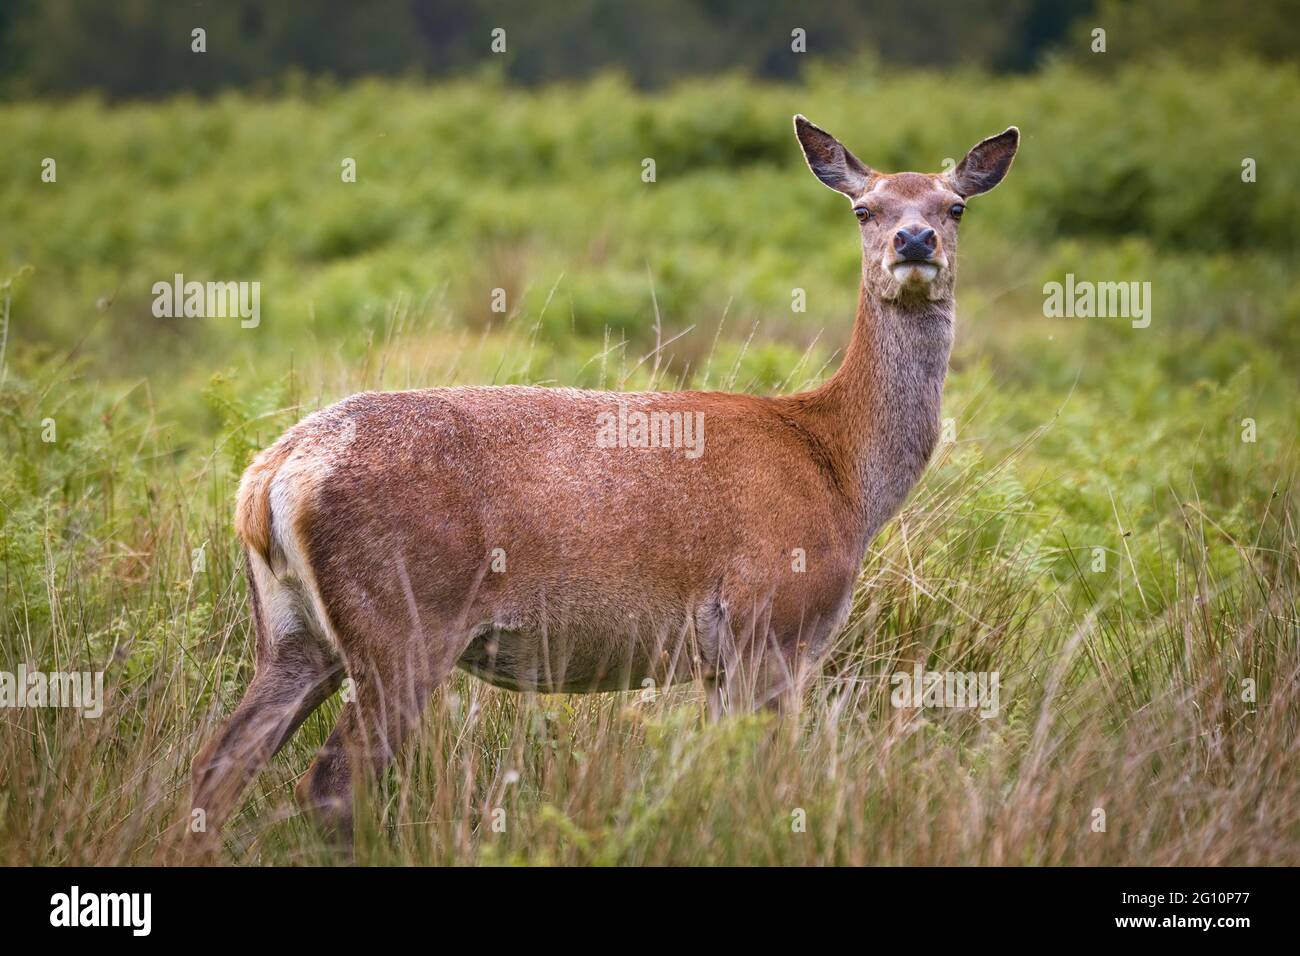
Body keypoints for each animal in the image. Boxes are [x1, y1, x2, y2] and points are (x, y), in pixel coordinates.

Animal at [189, 117, 1013, 842]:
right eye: (864, 207)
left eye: (955, 205)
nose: (914, 241)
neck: (841, 470)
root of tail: (268, 479)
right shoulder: (773, 620)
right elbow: (761, 778)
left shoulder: (724, 659)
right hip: (404, 619)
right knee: (328, 782)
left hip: (293, 631)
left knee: (219, 761)